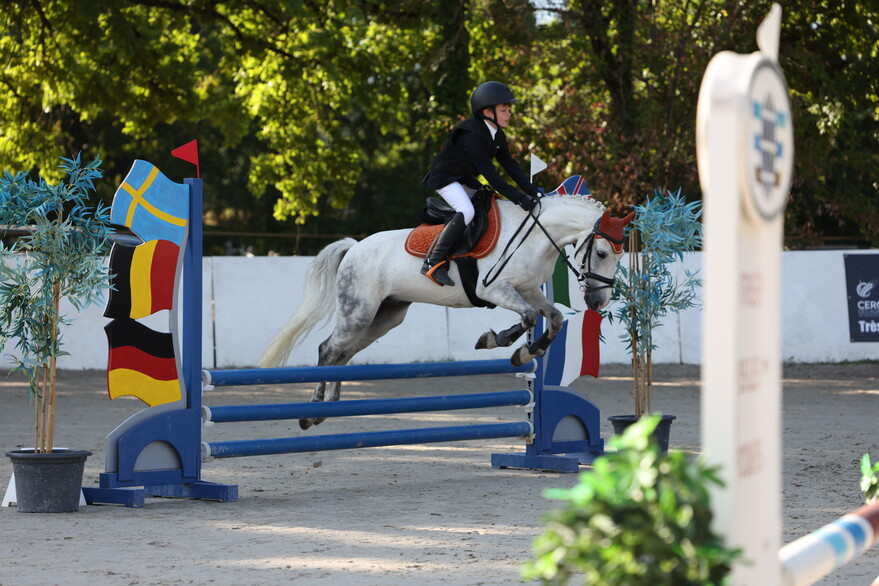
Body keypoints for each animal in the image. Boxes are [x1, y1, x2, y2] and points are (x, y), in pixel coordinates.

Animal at [260, 190, 634, 429]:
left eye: (619, 257)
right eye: (602, 253)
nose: (598, 303)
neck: (535, 237)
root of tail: (354, 248)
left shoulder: (528, 291)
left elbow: (552, 319)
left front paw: (526, 351)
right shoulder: (493, 289)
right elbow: (527, 317)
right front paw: (499, 342)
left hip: (384, 317)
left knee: (343, 353)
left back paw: (330, 407)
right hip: (359, 311)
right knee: (328, 348)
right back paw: (310, 412)